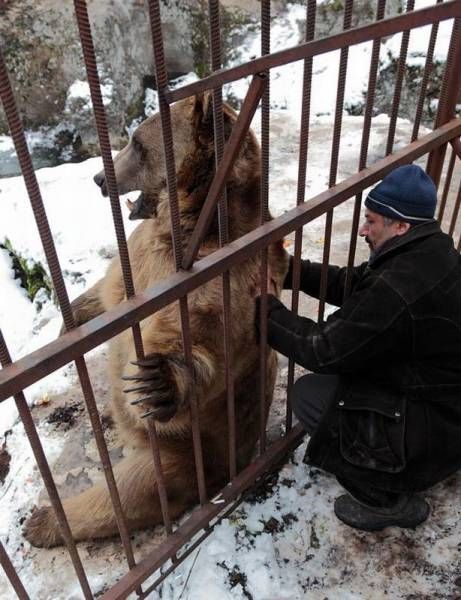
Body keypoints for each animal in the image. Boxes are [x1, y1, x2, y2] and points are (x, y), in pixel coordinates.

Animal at [24, 94, 288, 548]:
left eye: (135, 142)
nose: (99, 177)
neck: (187, 222)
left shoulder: (230, 281)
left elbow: (200, 339)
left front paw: (159, 380)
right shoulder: (141, 258)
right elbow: (109, 290)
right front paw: (67, 324)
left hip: (179, 455)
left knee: (128, 494)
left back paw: (42, 521)